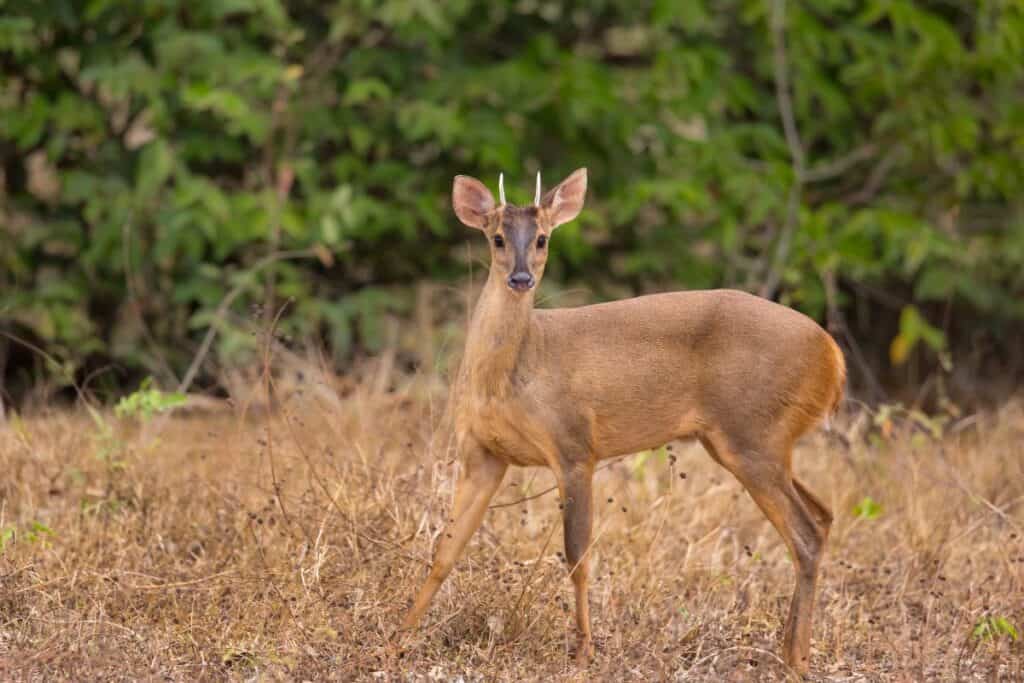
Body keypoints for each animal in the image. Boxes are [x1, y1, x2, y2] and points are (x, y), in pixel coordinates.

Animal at [395, 167, 843, 675]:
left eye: (543, 238)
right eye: (497, 238)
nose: (521, 278)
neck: (514, 372)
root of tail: (833, 356)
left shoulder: (573, 446)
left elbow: (577, 556)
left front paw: (583, 652)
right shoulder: (482, 453)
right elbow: (445, 549)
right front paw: (399, 638)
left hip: (753, 434)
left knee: (806, 534)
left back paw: (797, 659)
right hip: (753, 442)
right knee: (823, 515)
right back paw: (790, 648)